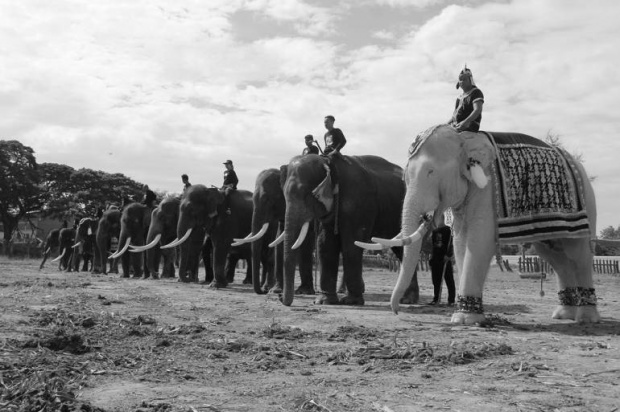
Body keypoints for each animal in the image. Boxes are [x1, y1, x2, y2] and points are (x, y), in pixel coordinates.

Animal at [280, 154, 412, 306]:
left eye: (306, 194)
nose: (281, 299)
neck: (329, 162)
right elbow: (325, 244)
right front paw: (324, 301)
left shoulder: (358, 200)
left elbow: (351, 243)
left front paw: (351, 301)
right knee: (400, 249)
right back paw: (405, 300)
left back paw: (407, 299)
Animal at [364, 124, 600, 324]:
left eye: (430, 172)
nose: (397, 311)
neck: (464, 138)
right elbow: (461, 242)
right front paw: (465, 317)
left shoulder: (487, 188)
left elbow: (479, 242)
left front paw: (464, 320)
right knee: (553, 254)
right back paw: (563, 315)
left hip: (586, 202)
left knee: (577, 252)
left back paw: (586, 318)